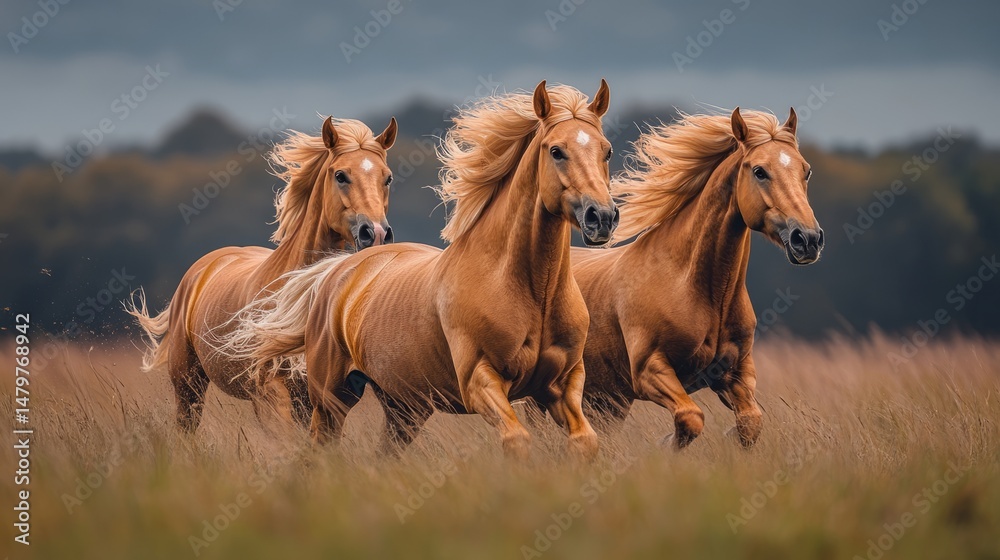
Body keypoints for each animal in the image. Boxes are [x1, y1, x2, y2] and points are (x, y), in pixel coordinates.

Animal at [127, 115, 398, 433]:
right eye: (341, 175)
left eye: (387, 178)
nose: (376, 233)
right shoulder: (270, 393)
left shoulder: (314, 395)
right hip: (188, 384)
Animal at [225, 81, 619, 461]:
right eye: (556, 151)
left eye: (607, 150)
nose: (601, 217)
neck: (529, 291)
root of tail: (334, 271)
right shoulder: (480, 381)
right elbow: (517, 440)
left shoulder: (562, 384)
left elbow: (585, 442)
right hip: (330, 398)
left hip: (405, 406)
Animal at [571, 108, 824, 449]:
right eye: (760, 171)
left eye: (806, 171)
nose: (807, 239)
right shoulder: (650, 371)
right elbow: (690, 418)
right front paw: (665, 445)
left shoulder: (736, 373)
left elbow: (751, 422)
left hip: (606, 400)